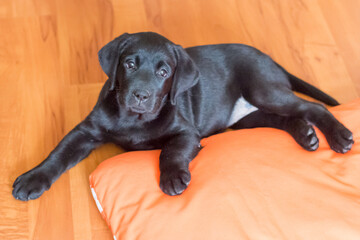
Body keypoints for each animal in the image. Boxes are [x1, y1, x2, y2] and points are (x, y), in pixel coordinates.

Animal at [12, 32, 352, 201]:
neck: (134, 119)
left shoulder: (187, 133)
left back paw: (339, 136)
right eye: (129, 65)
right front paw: (32, 178)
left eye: (164, 73)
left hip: (263, 89)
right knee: (286, 118)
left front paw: (174, 177)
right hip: (247, 116)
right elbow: (58, 153)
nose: (141, 95)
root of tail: (271, 60)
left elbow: (171, 151)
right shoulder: (86, 131)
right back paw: (306, 136)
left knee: (313, 108)